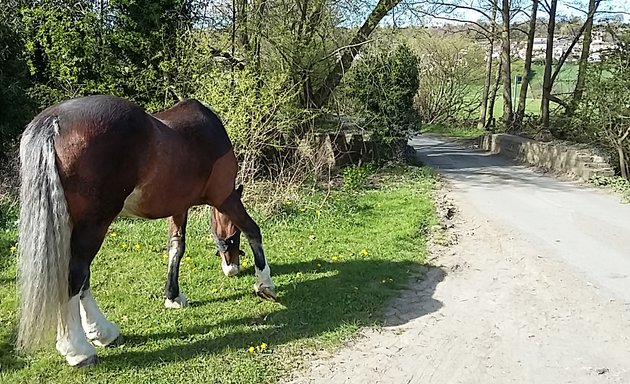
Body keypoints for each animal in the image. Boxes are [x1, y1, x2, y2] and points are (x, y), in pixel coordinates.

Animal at [16, 94, 276, 368]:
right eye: (232, 237)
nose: (232, 267)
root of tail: (54, 121)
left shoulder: (179, 206)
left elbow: (176, 246)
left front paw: (173, 296)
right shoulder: (225, 197)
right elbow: (253, 230)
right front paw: (265, 285)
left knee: (81, 278)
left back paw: (103, 332)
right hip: (93, 225)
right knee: (76, 275)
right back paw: (79, 349)